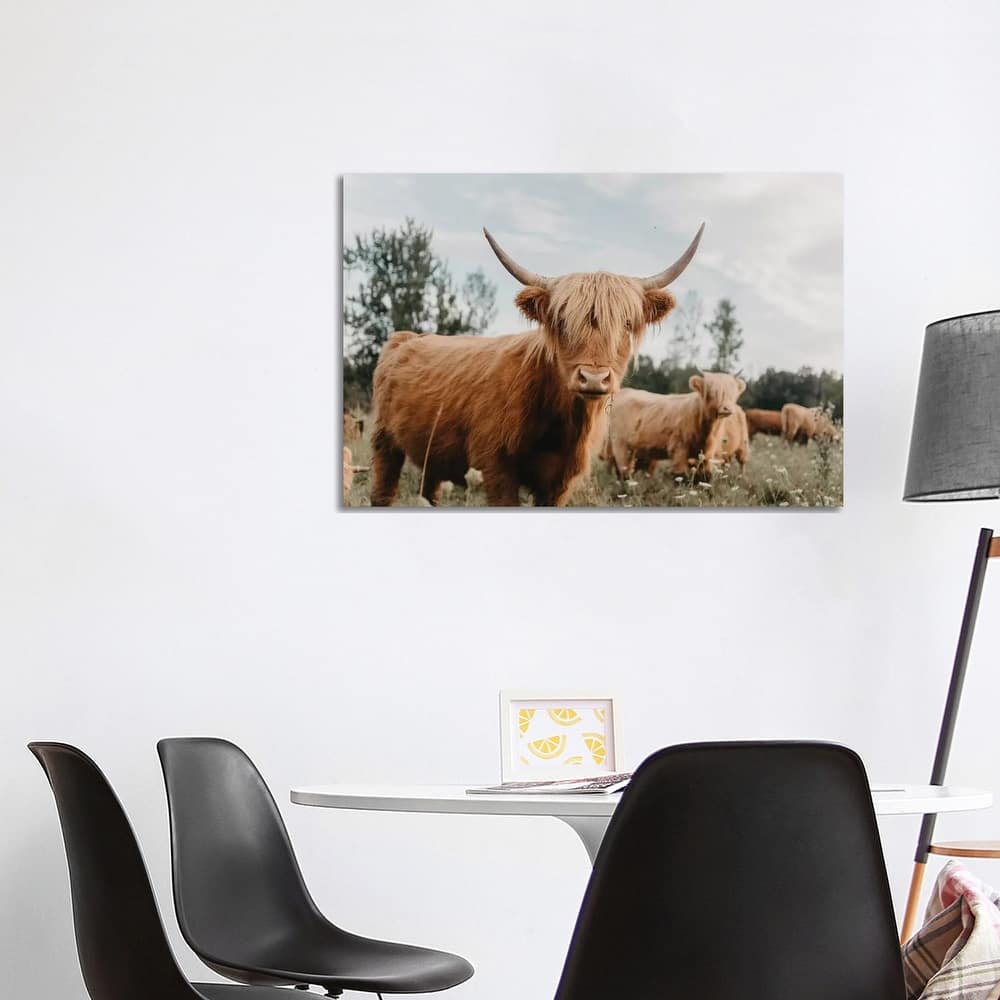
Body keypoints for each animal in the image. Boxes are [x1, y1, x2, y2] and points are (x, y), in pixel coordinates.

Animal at [369, 224, 705, 506]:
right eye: (562, 321)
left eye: (626, 323)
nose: (593, 378)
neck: (560, 422)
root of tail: (406, 336)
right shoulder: (496, 468)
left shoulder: (559, 483)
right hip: (384, 440)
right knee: (383, 488)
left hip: (432, 453)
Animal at [607, 372, 747, 480]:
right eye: (712, 392)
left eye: (733, 394)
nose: (727, 408)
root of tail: (624, 391)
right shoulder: (679, 448)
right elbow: (680, 476)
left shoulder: (707, 453)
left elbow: (704, 477)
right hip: (620, 445)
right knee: (623, 471)